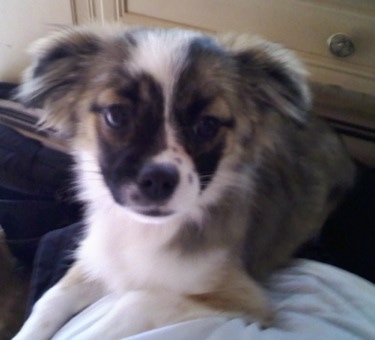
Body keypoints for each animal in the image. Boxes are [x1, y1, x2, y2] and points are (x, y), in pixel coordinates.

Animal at [13, 26, 356, 340]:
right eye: (117, 115)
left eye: (207, 125)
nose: (157, 181)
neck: (145, 231)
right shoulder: (99, 261)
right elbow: (48, 301)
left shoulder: (243, 298)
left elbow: (133, 303)